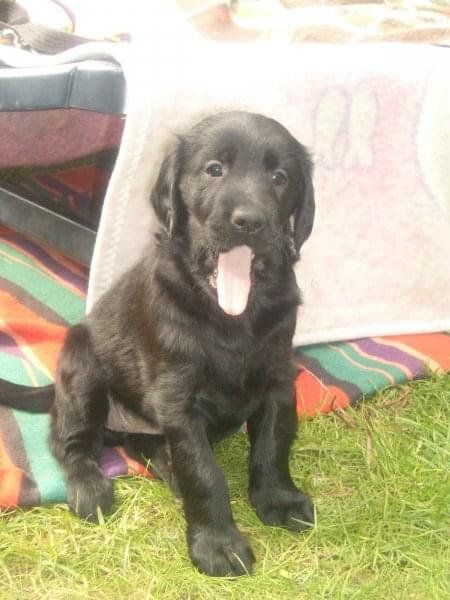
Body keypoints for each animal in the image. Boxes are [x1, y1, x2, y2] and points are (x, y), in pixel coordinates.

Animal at [2, 112, 316, 576]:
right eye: (214, 169)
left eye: (280, 178)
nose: (249, 221)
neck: (232, 315)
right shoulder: (179, 399)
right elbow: (204, 471)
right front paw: (217, 544)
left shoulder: (278, 379)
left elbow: (273, 445)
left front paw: (278, 500)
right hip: (83, 371)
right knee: (71, 440)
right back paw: (89, 487)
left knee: (142, 443)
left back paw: (165, 465)